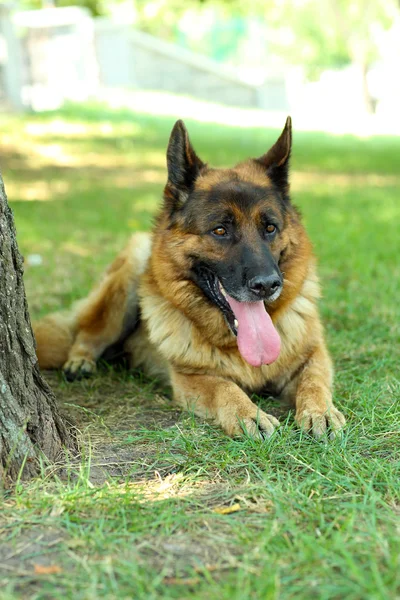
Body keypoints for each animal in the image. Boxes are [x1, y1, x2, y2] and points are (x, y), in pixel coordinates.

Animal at [34, 117, 346, 438]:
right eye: (220, 230)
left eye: (270, 228)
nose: (268, 285)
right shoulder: (190, 377)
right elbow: (224, 388)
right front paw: (249, 414)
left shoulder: (314, 354)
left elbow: (314, 380)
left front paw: (320, 411)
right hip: (131, 267)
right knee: (89, 330)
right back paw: (80, 359)